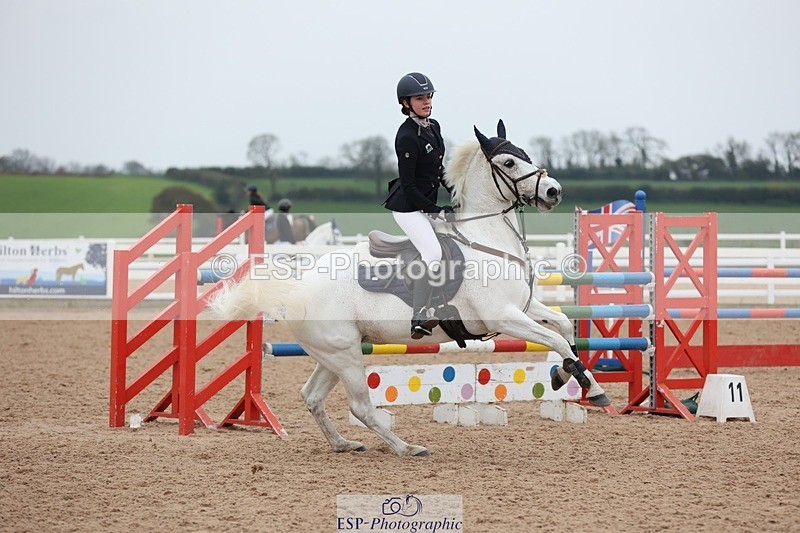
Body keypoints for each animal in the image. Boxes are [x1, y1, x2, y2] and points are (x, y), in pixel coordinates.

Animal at [212, 120, 610, 457]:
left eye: (525, 154)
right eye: (509, 162)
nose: (554, 191)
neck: (486, 239)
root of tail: (296, 288)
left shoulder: (523, 308)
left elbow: (564, 326)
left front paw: (566, 375)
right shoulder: (503, 316)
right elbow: (557, 339)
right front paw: (593, 388)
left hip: (334, 354)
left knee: (311, 396)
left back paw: (344, 444)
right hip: (345, 354)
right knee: (360, 406)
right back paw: (406, 447)